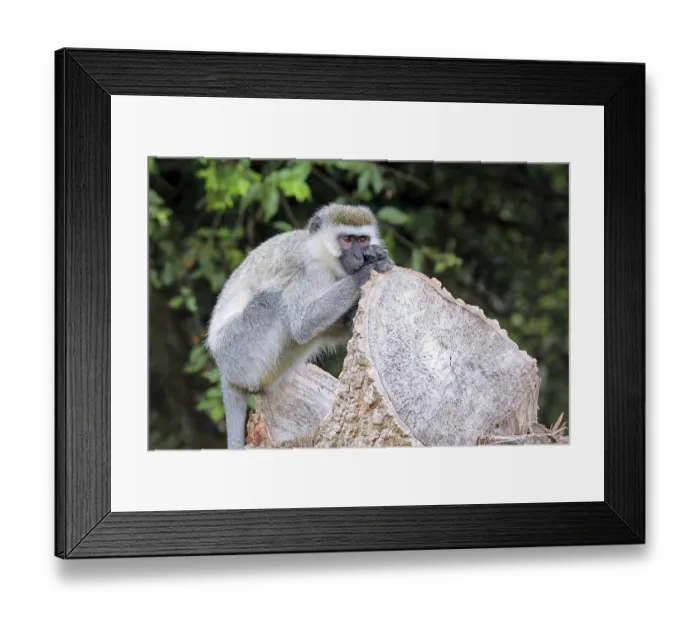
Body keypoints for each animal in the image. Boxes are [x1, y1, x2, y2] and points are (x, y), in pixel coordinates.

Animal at [205, 203, 395, 449]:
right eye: (347, 239)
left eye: (362, 240)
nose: (358, 255)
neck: (319, 253)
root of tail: (225, 372)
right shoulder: (308, 271)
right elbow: (302, 324)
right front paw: (366, 271)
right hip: (238, 352)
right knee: (274, 301)